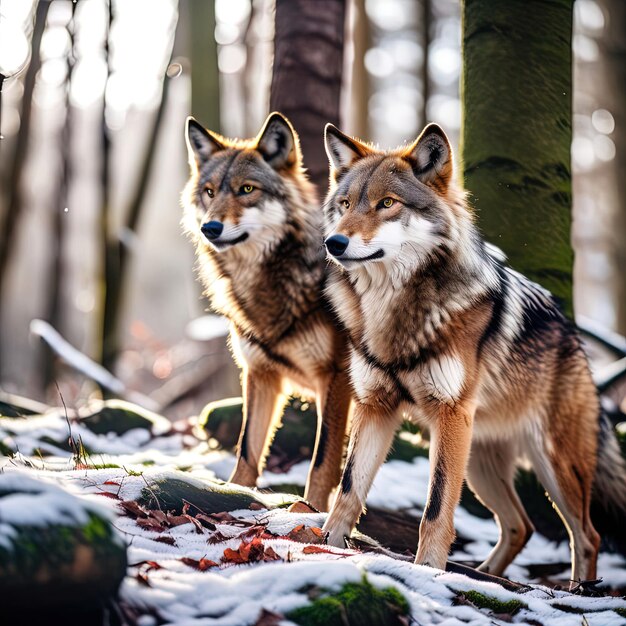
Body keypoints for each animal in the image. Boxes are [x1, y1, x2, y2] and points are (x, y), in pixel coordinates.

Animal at [183, 113, 354, 512]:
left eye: (247, 189)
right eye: (209, 192)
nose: (210, 227)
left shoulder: (336, 378)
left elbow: (323, 459)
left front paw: (310, 511)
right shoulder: (260, 374)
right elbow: (248, 448)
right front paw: (234, 492)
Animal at [316, 120, 624, 580]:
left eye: (387, 203)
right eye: (346, 203)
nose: (334, 243)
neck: (394, 311)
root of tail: (573, 336)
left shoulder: (448, 414)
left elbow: (436, 508)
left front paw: (428, 569)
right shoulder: (376, 406)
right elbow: (350, 488)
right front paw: (326, 546)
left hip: (551, 466)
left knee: (588, 535)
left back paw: (577, 590)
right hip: (479, 463)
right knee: (521, 525)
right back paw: (486, 574)